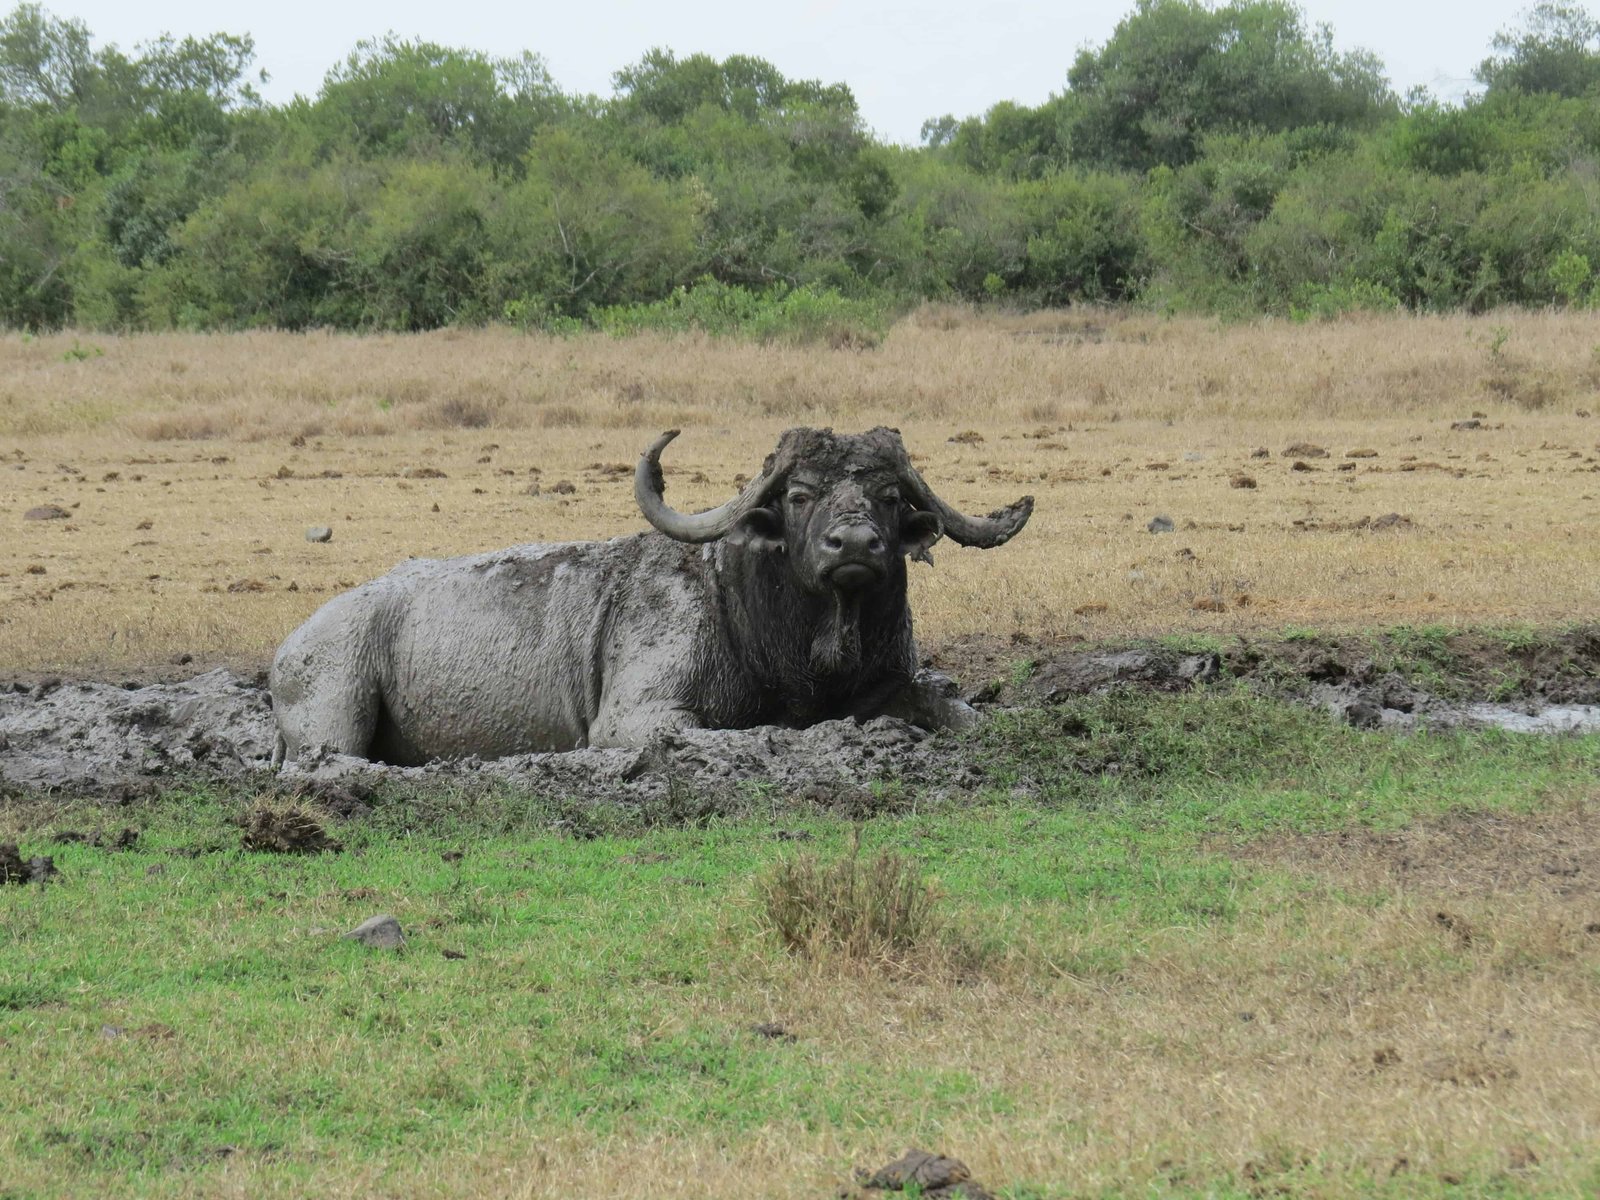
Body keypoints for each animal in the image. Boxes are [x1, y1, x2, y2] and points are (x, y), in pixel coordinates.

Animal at [270, 426, 1031, 765]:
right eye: (800, 495)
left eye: (889, 496)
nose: (854, 547)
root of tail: (290, 646)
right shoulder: (635, 719)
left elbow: (949, 709)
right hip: (331, 715)